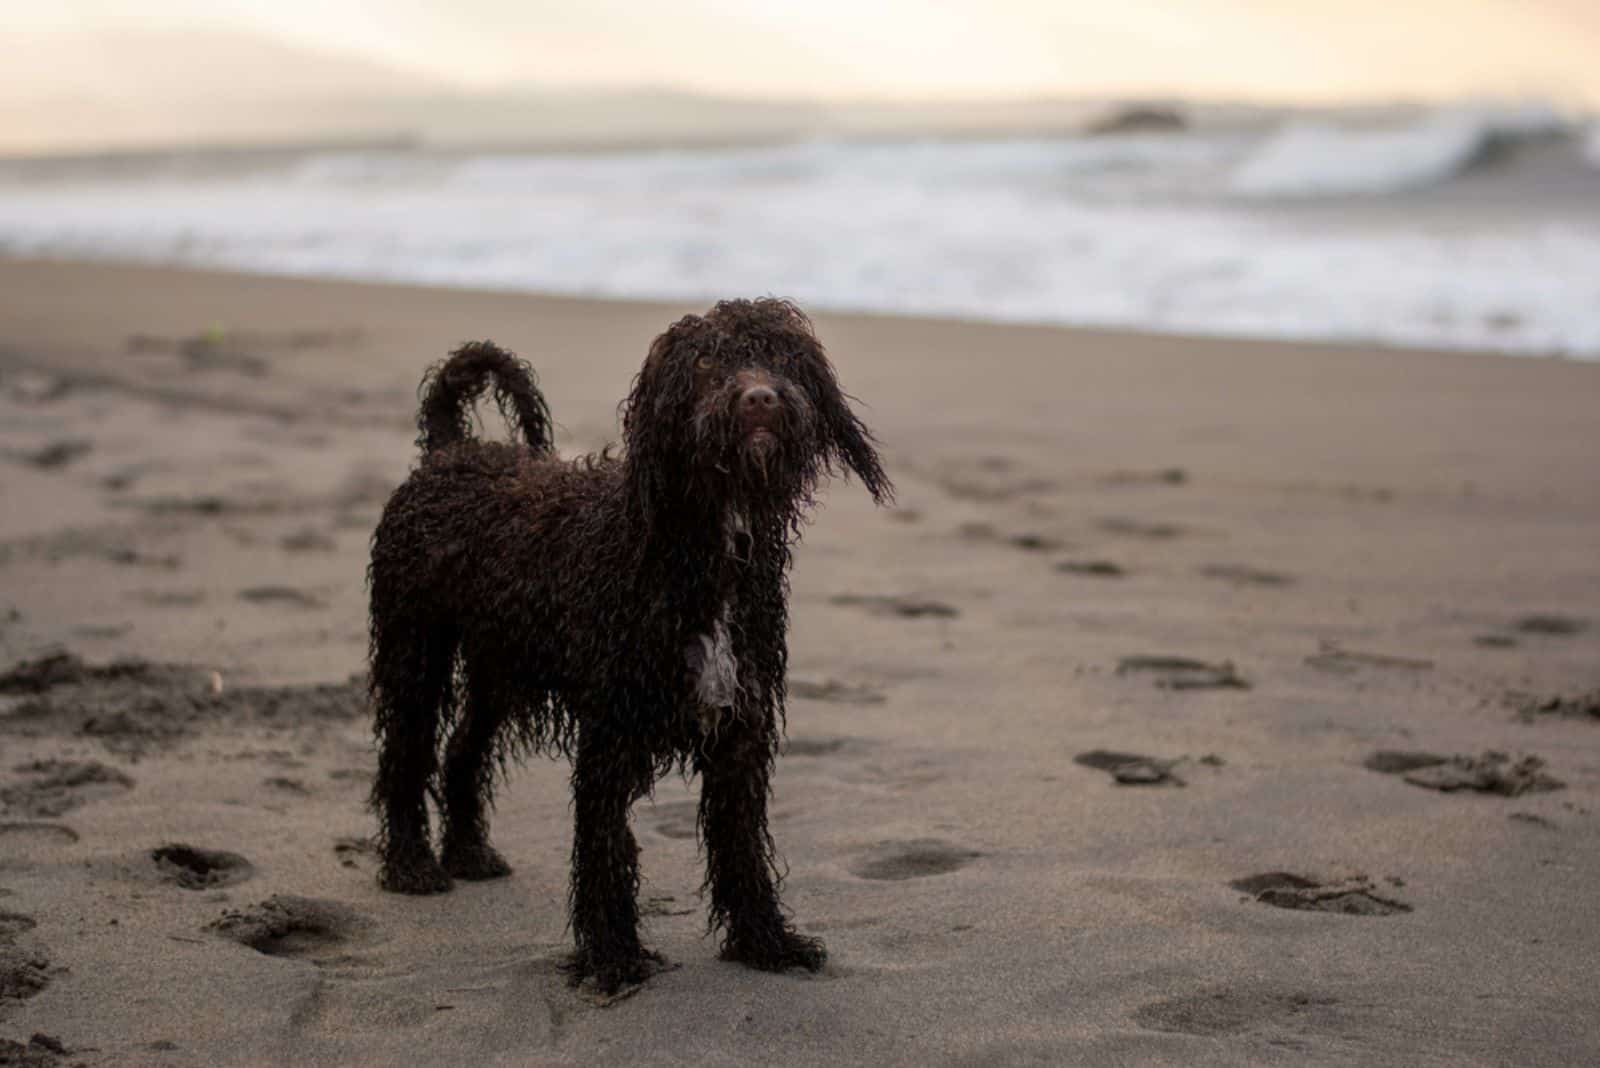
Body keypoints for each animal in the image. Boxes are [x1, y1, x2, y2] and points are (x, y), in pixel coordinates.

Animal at [366, 298, 889, 991]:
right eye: (706, 362)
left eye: (780, 356)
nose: (759, 398)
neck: (692, 546)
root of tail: (450, 451)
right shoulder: (612, 730)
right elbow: (605, 846)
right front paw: (613, 955)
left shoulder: (740, 728)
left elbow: (742, 845)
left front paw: (765, 942)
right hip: (415, 648)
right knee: (406, 753)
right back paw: (410, 864)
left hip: (500, 666)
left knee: (462, 751)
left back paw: (470, 852)